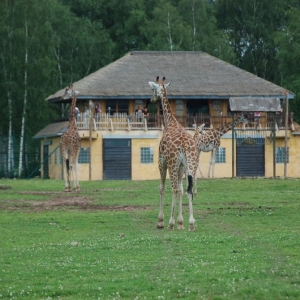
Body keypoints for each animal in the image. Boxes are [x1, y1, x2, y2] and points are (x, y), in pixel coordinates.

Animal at [148, 76, 199, 231]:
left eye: (153, 89)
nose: (151, 99)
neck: (170, 121)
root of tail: (184, 146)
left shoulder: (161, 162)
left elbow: (162, 188)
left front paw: (161, 221)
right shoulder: (182, 166)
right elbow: (182, 189)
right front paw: (181, 222)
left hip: (172, 164)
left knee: (174, 188)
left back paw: (171, 223)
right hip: (191, 164)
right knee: (188, 189)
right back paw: (191, 223)